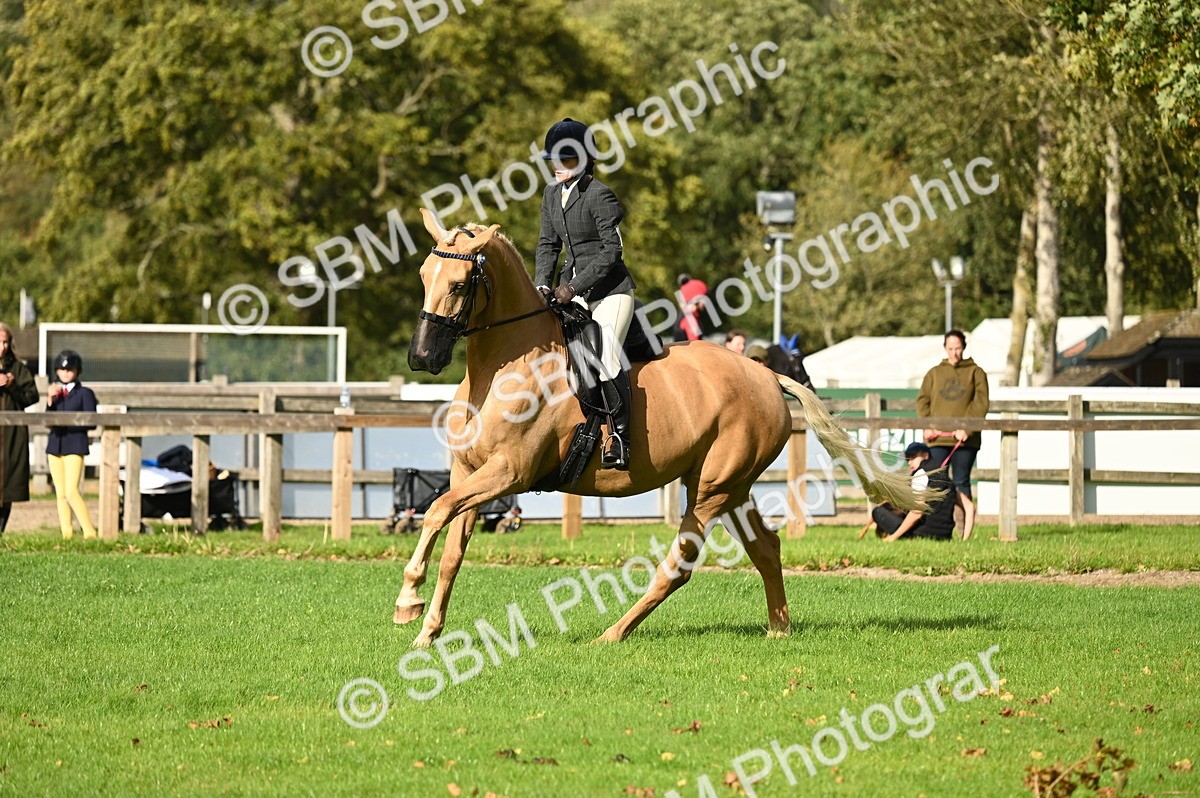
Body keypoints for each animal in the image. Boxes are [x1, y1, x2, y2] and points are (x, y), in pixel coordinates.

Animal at [400, 208, 934, 646]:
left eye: (461, 283)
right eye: (424, 275)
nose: (422, 357)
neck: (504, 366)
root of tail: (767, 375)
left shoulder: (509, 471)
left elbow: (435, 512)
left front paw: (408, 601)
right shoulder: (470, 473)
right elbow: (451, 547)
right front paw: (428, 631)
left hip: (713, 489)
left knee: (680, 565)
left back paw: (612, 634)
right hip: (728, 486)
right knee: (765, 547)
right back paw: (778, 629)